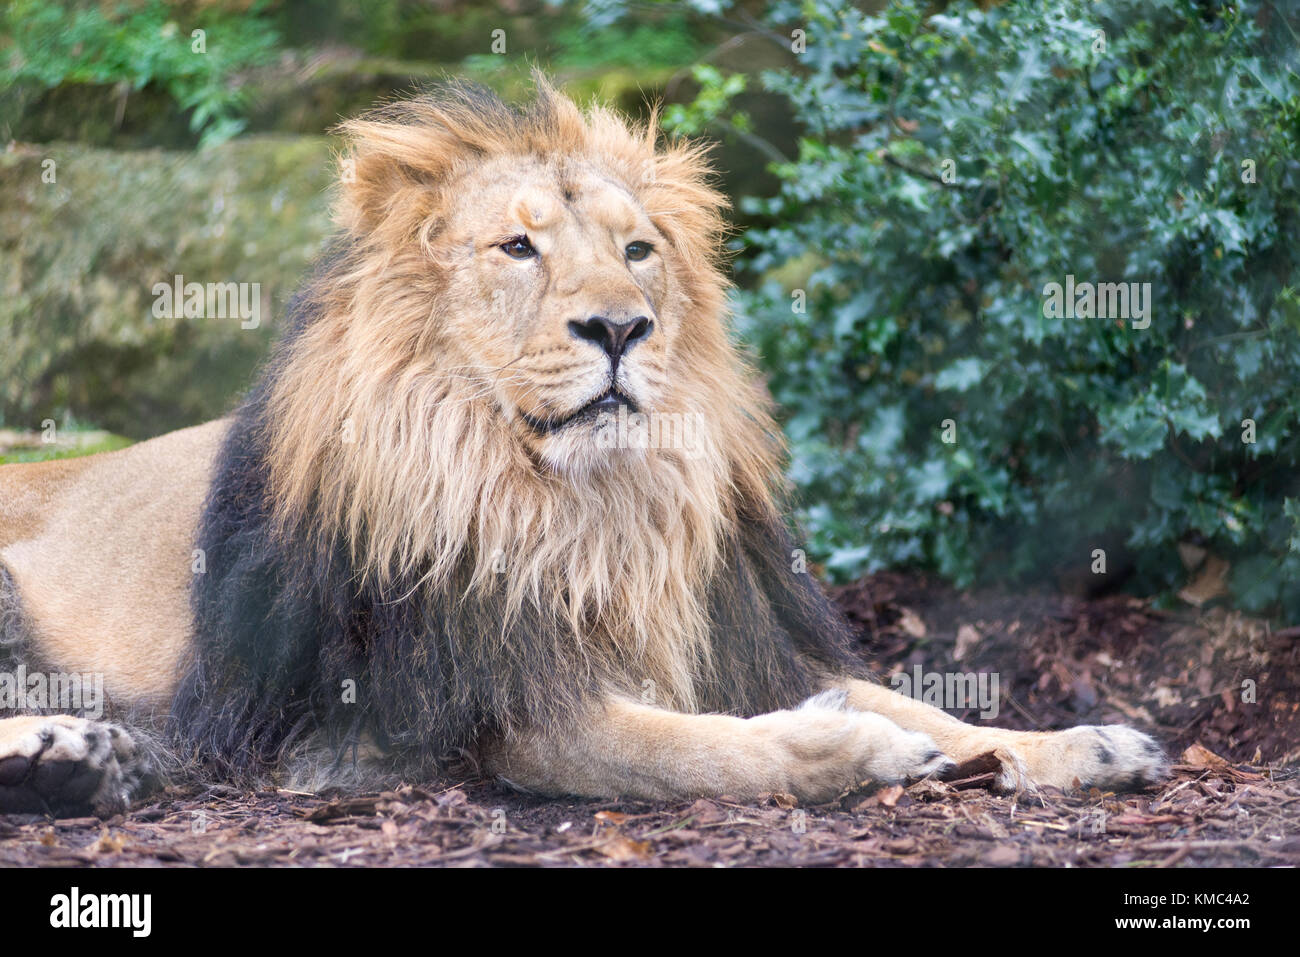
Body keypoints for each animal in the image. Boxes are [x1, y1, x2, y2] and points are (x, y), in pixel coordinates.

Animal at [0, 78, 1164, 816]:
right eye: (517, 248)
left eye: (637, 250)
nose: (618, 327)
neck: (587, 508)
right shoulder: (484, 706)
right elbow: (683, 750)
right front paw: (849, 748)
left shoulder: (738, 638)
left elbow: (924, 704)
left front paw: (1088, 745)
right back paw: (70, 752)